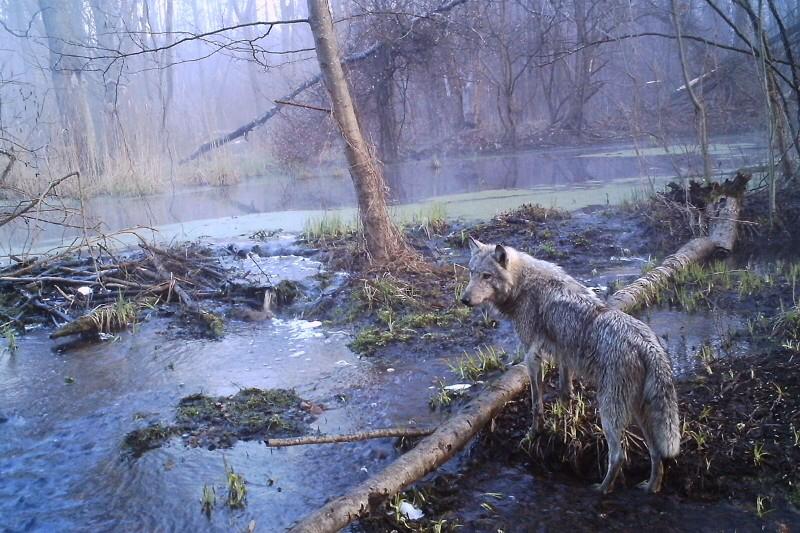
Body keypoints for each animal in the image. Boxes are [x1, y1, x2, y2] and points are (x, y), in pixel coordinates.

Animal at [460, 235, 680, 492]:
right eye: (472, 273)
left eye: (487, 276)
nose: (464, 300)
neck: (523, 285)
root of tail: (648, 345)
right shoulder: (563, 354)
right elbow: (565, 391)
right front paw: (564, 421)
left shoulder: (532, 356)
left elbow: (536, 404)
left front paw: (534, 434)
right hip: (638, 413)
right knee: (656, 453)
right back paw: (650, 487)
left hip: (609, 413)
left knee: (618, 456)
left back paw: (602, 489)